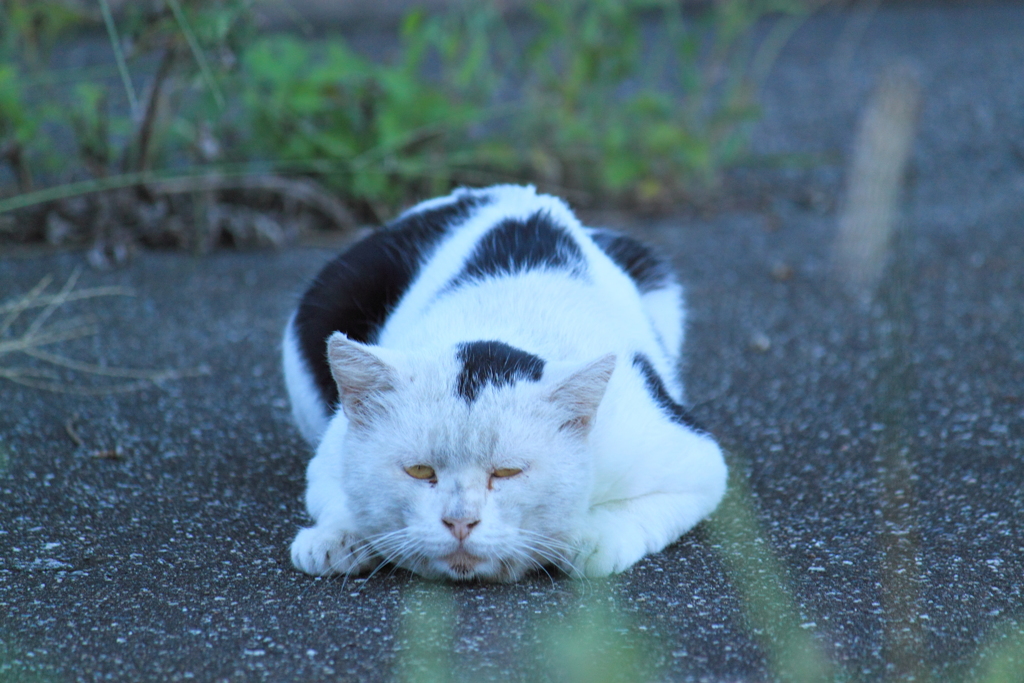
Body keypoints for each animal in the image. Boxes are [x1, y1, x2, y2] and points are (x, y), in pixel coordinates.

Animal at [282, 184, 729, 581]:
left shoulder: (689, 457)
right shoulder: (329, 453)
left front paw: (588, 540)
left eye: (508, 472)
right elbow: (337, 492)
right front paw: (336, 537)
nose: (460, 522)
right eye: (420, 471)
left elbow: (631, 518)